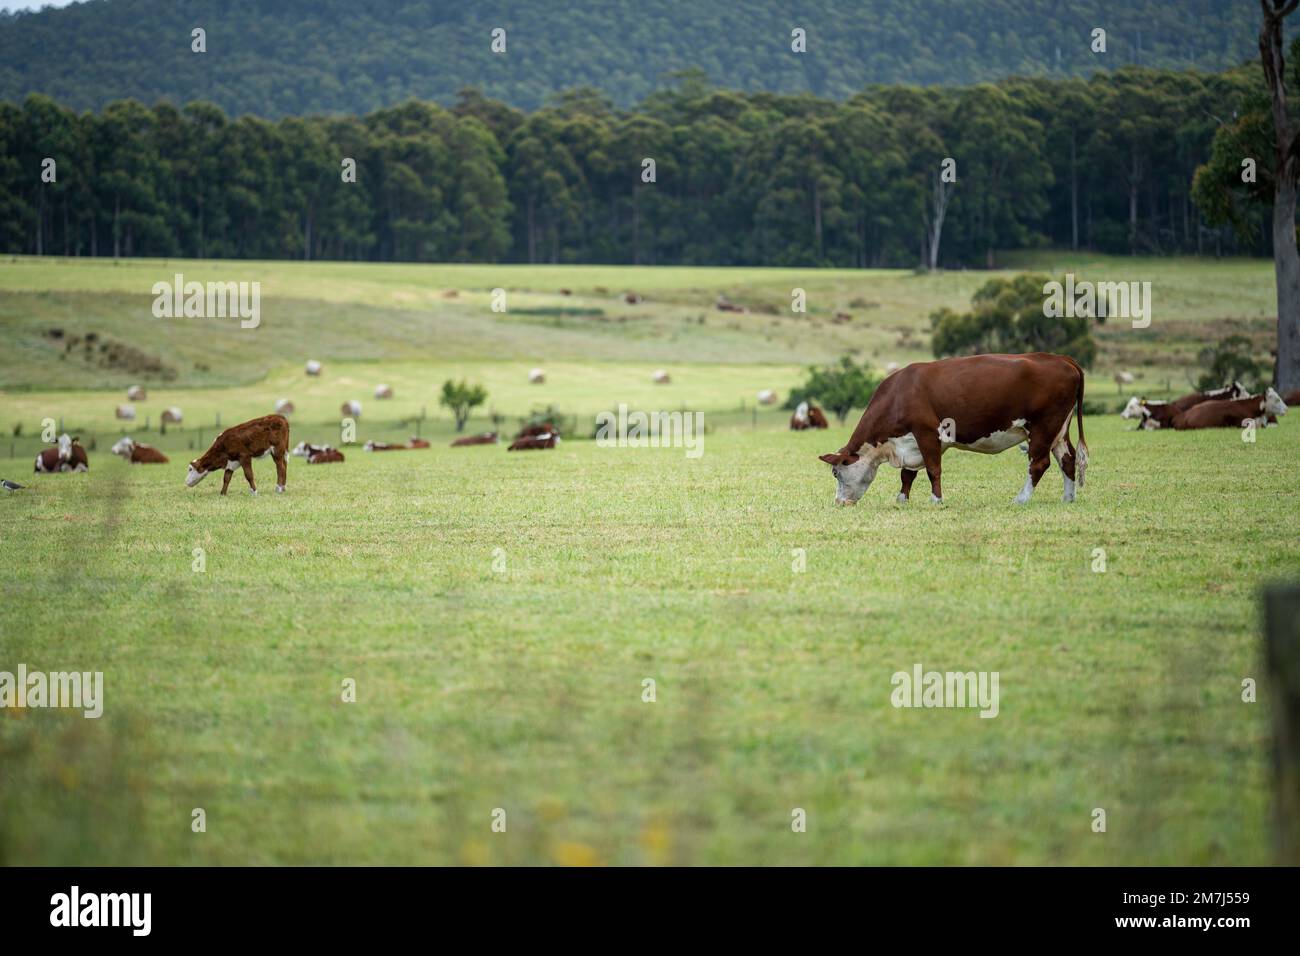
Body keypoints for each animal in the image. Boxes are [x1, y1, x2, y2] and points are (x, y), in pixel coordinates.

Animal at [819, 353, 1087, 506]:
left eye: (836, 473)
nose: (839, 502)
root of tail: (1063, 360)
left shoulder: (927, 433)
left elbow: (933, 470)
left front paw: (936, 500)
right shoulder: (910, 443)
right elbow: (908, 474)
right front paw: (902, 499)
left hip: (1043, 426)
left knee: (1039, 464)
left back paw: (1021, 499)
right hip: (1059, 429)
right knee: (1067, 459)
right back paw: (1068, 498)